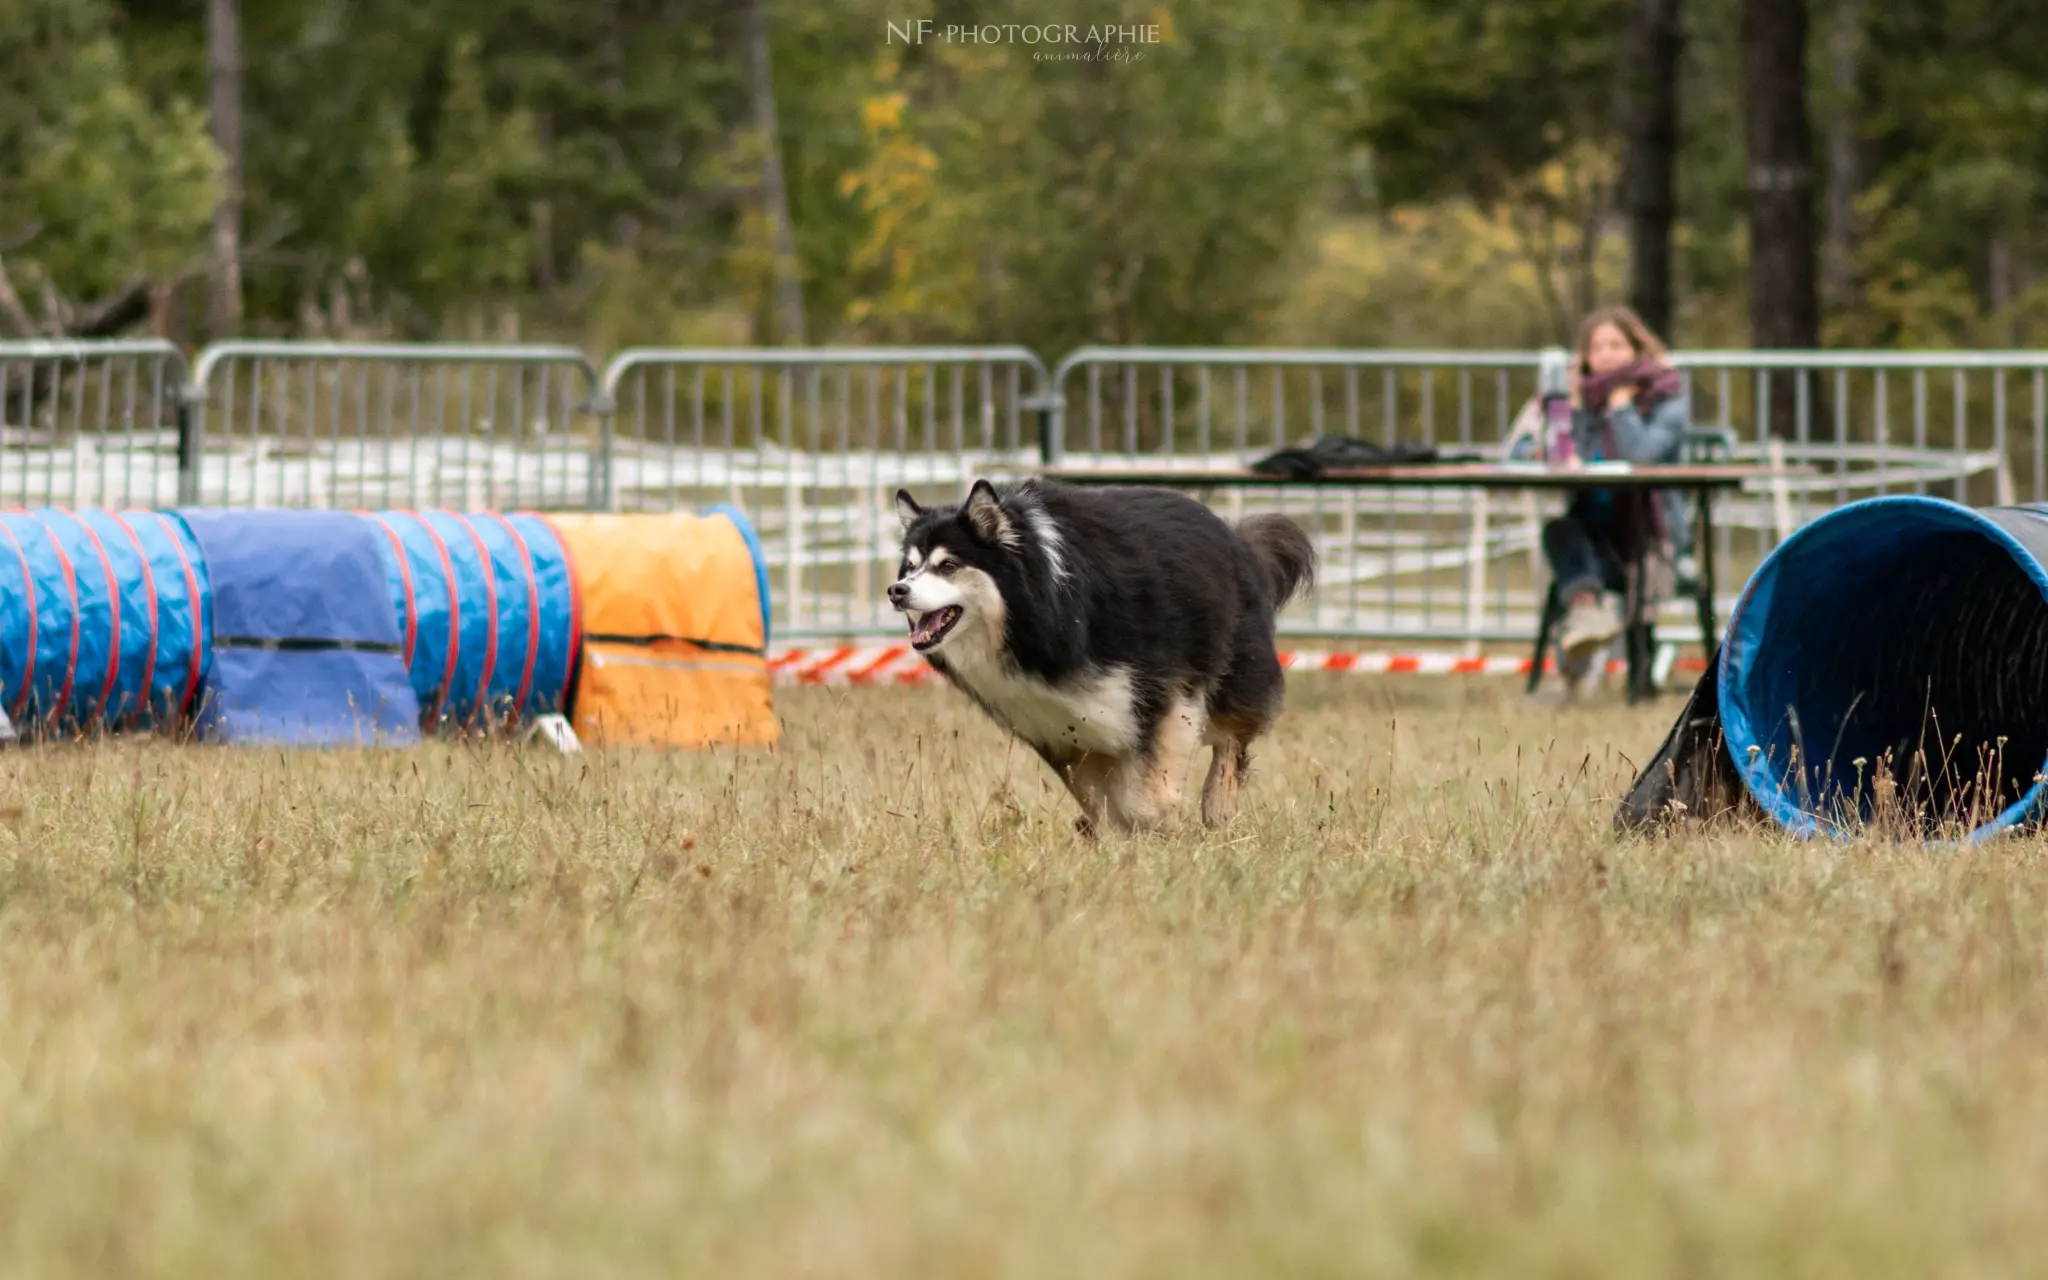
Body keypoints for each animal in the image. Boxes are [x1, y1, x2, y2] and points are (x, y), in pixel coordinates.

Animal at [892, 477, 1310, 827]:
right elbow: (1105, 803)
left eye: (948, 565)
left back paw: (1218, 806)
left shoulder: (1161, 691)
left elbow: (1145, 796)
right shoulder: (1063, 725)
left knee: (1232, 739)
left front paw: (1162, 829)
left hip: (1234, 667)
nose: (896, 590)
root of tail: (1235, 535)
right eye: (910, 568)